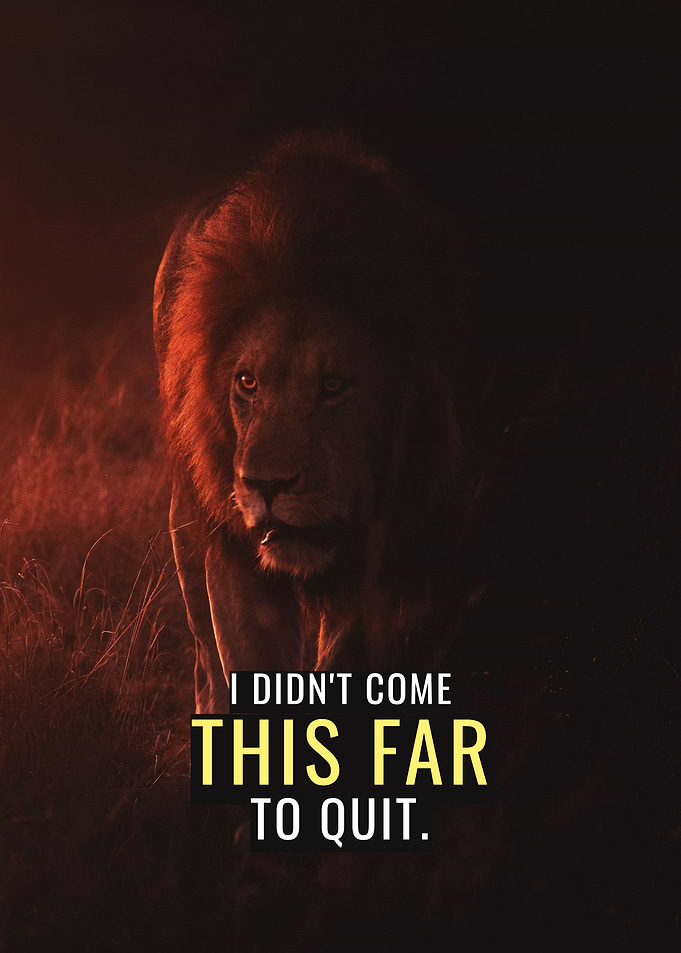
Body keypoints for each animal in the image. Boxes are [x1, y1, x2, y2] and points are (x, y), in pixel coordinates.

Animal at [153, 133, 464, 712]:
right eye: (247, 382)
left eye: (334, 385)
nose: (265, 485)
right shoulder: (235, 554)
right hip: (188, 520)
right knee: (205, 655)